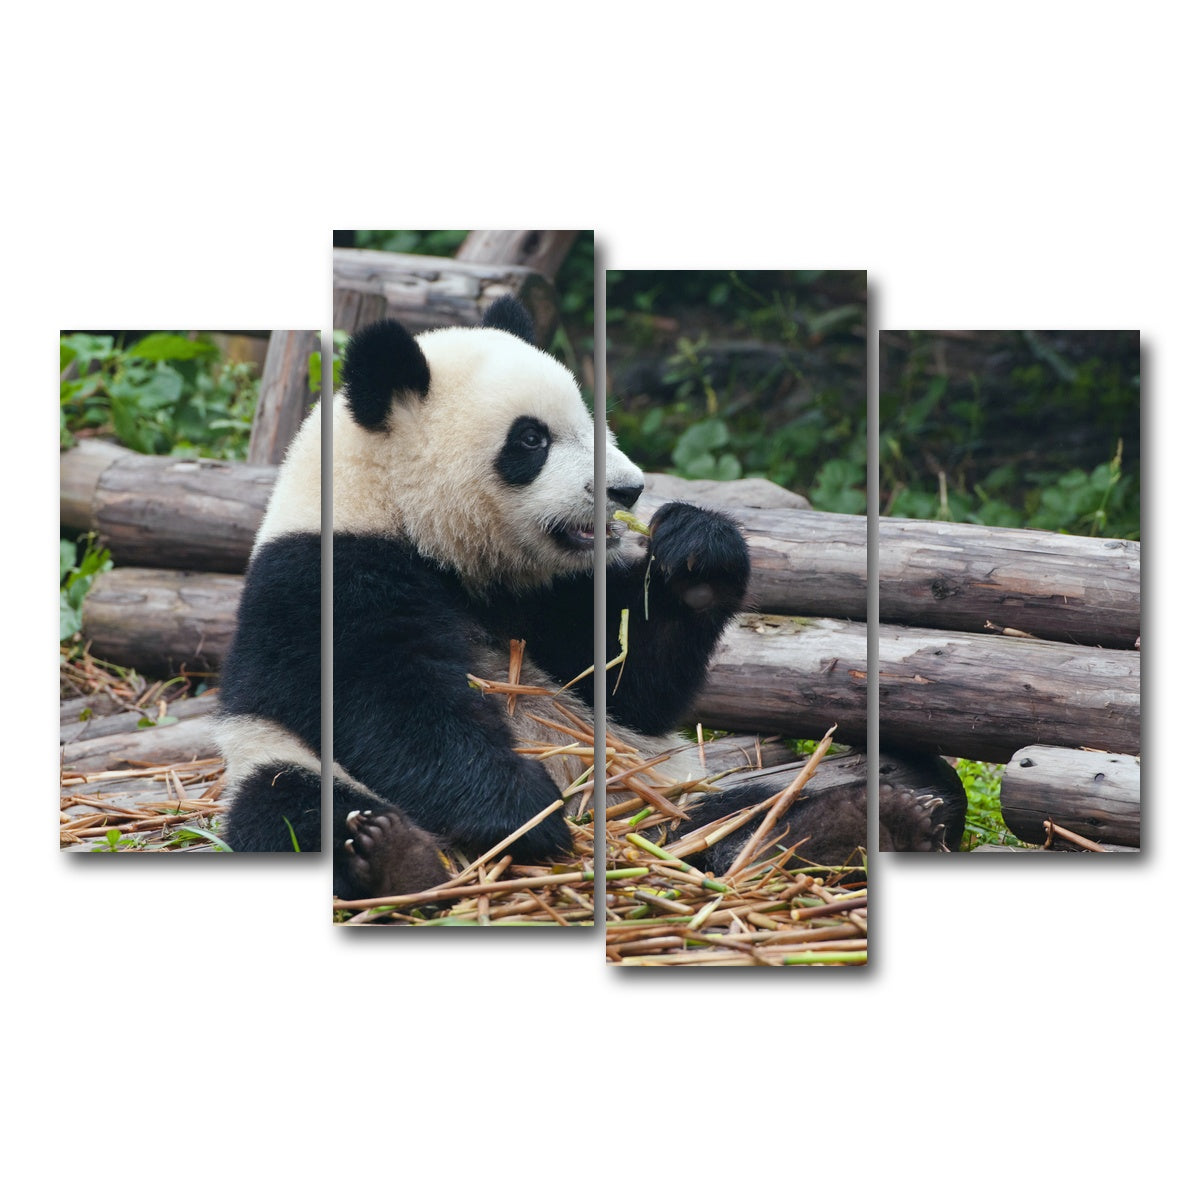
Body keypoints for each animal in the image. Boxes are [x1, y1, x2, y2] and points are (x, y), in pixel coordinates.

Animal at [215, 296, 957, 901]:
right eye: (531, 438)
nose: (627, 489)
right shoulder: (323, 575)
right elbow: (386, 699)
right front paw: (523, 812)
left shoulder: (545, 592)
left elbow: (628, 682)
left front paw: (698, 554)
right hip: (275, 763)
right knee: (290, 809)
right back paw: (393, 858)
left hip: (658, 798)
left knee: (741, 811)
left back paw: (861, 823)